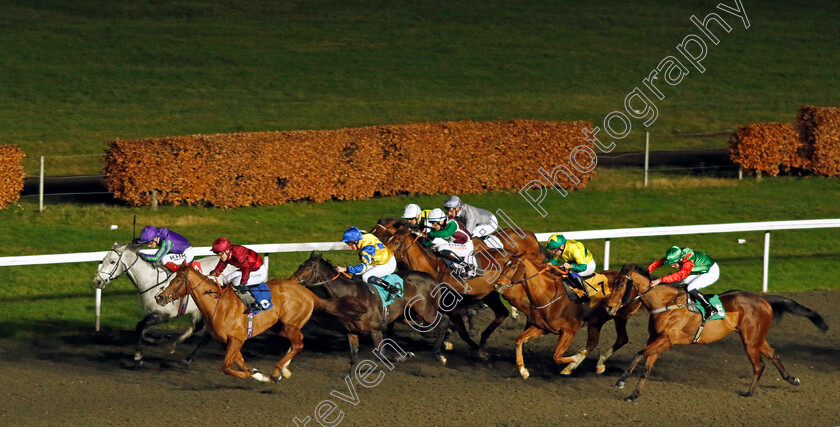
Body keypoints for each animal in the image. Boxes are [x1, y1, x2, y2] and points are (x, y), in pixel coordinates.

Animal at [92, 242, 236, 366]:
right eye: (103, 259)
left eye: (112, 261)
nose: (97, 281)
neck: (151, 282)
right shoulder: (152, 313)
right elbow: (143, 329)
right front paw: (156, 340)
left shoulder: (164, 314)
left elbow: (140, 327)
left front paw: (138, 357)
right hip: (198, 309)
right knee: (198, 326)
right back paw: (175, 345)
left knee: (207, 333)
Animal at [156, 264, 366, 382]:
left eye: (178, 280)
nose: (160, 297)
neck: (217, 303)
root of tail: (308, 292)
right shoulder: (229, 342)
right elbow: (240, 364)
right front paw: (258, 375)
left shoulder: (236, 340)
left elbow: (227, 368)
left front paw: (257, 374)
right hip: (279, 327)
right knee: (297, 342)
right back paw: (283, 370)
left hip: (290, 324)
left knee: (298, 344)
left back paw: (277, 370)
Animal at [294, 252, 452, 366]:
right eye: (300, 265)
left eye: (307, 268)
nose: (292, 280)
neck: (352, 296)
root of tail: (434, 279)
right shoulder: (351, 332)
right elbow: (353, 358)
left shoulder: (375, 330)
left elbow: (383, 355)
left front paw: (405, 355)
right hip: (409, 314)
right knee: (433, 327)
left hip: (426, 311)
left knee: (443, 322)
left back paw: (438, 354)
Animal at [496, 254, 640, 378]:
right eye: (505, 264)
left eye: (513, 267)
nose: (497, 284)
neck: (548, 295)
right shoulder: (542, 328)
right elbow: (519, 339)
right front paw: (523, 371)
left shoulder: (568, 332)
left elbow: (557, 357)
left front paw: (574, 359)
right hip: (596, 321)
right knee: (596, 342)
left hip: (619, 316)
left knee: (620, 339)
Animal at [604, 264, 828, 402]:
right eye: (612, 283)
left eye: (622, 284)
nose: (608, 307)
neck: (666, 303)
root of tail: (763, 299)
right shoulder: (657, 339)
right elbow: (647, 367)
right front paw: (634, 394)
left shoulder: (667, 339)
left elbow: (638, 354)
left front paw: (621, 380)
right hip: (756, 338)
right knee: (773, 355)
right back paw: (791, 378)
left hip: (750, 340)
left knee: (759, 365)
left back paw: (749, 392)